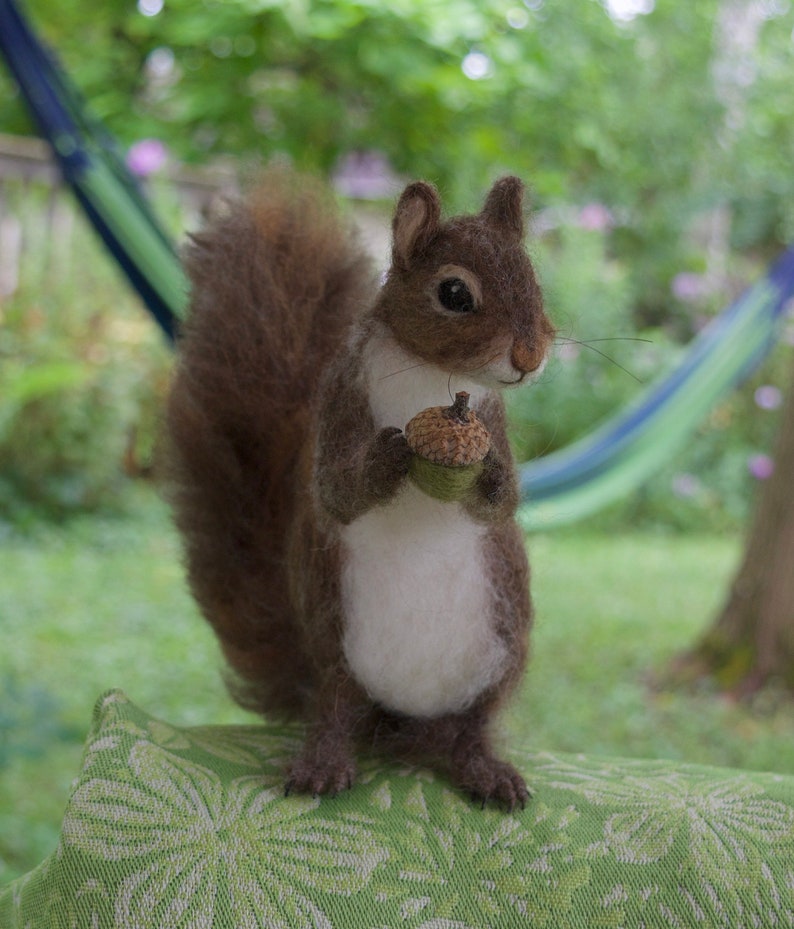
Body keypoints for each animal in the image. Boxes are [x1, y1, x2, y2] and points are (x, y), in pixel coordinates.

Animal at [162, 170, 552, 808]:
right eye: (454, 293)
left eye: (534, 278)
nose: (530, 356)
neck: (432, 378)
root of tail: (402, 724)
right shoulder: (340, 399)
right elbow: (336, 490)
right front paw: (388, 457)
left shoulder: (490, 418)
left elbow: (503, 502)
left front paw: (490, 470)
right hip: (335, 642)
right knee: (335, 711)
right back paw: (323, 763)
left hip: (501, 651)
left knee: (472, 728)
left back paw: (485, 768)